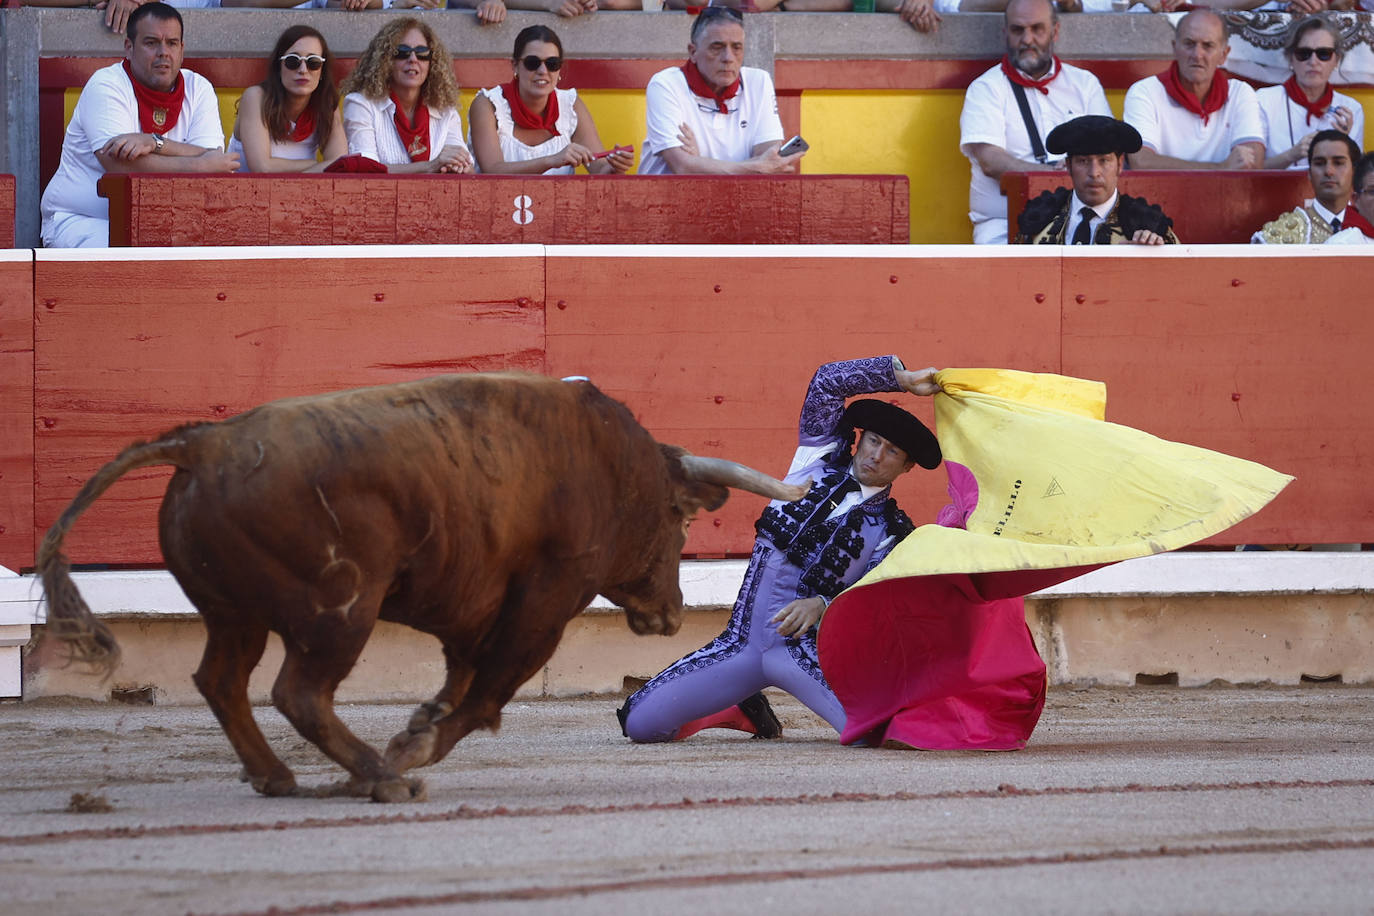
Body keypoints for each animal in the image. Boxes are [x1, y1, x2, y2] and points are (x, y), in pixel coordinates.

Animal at [37, 373, 802, 802]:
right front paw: (413, 748)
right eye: (679, 521)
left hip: (235, 613)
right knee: (298, 692)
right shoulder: (549, 596)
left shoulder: (472, 605)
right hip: (338, 613)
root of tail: (204, 444)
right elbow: (488, 689)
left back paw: (278, 777)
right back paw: (380, 775)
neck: (609, 464)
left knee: (222, 681)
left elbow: (460, 680)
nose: (671, 613)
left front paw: (416, 728)